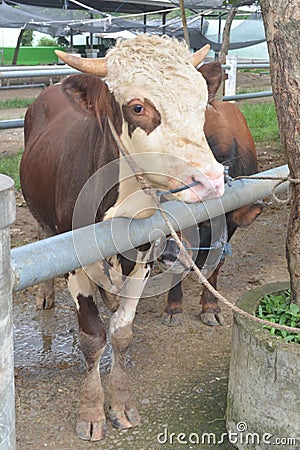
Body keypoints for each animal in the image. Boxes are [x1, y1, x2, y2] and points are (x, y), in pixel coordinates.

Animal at [20, 36, 225, 442]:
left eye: (201, 104)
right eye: (138, 107)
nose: (211, 180)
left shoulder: (143, 255)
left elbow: (121, 332)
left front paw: (122, 404)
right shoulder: (75, 262)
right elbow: (92, 336)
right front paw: (91, 411)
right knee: (42, 233)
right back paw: (45, 294)